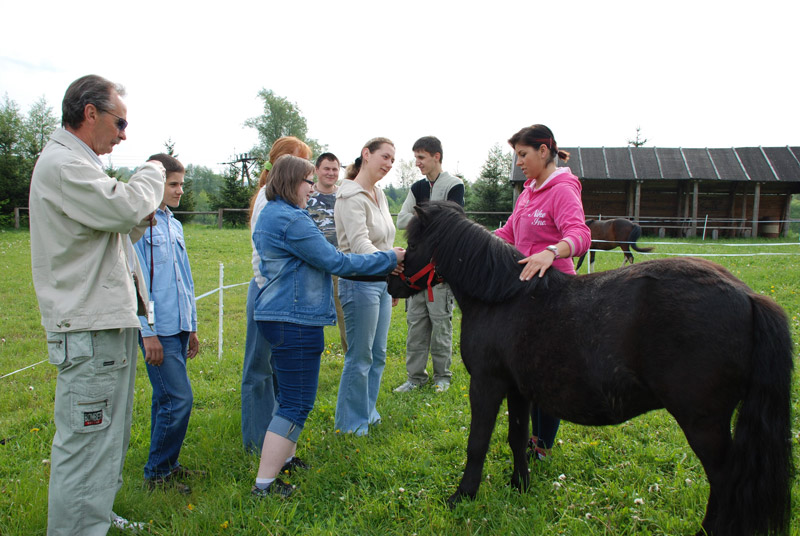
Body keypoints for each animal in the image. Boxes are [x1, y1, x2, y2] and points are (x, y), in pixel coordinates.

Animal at [388, 200, 792, 536]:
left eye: (413, 240)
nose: (392, 282)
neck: (502, 297)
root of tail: (749, 296)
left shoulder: (487, 385)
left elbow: (477, 444)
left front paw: (462, 496)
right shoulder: (517, 389)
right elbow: (517, 438)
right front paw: (520, 485)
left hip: (703, 423)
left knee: (725, 480)